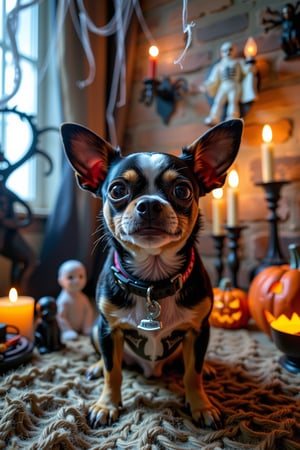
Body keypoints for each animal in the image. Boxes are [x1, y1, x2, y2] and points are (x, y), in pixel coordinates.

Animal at [61, 119, 244, 428]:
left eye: (182, 191)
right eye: (117, 190)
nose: (149, 204)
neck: (151, 281)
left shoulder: (199, 330)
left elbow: (192, 373)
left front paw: (201, 405)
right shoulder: (109, 330)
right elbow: (113, 371)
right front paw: (106, 405)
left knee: (191, 364)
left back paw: (208, 368)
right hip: (95, 330)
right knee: (106, 360)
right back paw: (95, 367)